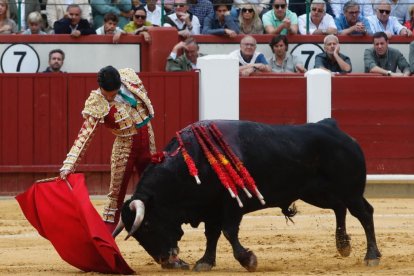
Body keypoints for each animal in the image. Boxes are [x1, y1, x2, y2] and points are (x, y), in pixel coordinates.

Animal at [115, 118, 380, 270]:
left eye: (147, 225)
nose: (164, 261)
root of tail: (336, 130)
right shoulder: (211, 208)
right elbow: (211, 234)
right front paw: (205, 262)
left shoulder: (233, 205)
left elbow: (228, 231)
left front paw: (248, 260)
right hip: (317, 193)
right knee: (339, 208)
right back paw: (343, 245)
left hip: (350, 190)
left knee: (364, 213)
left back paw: (371, 256)